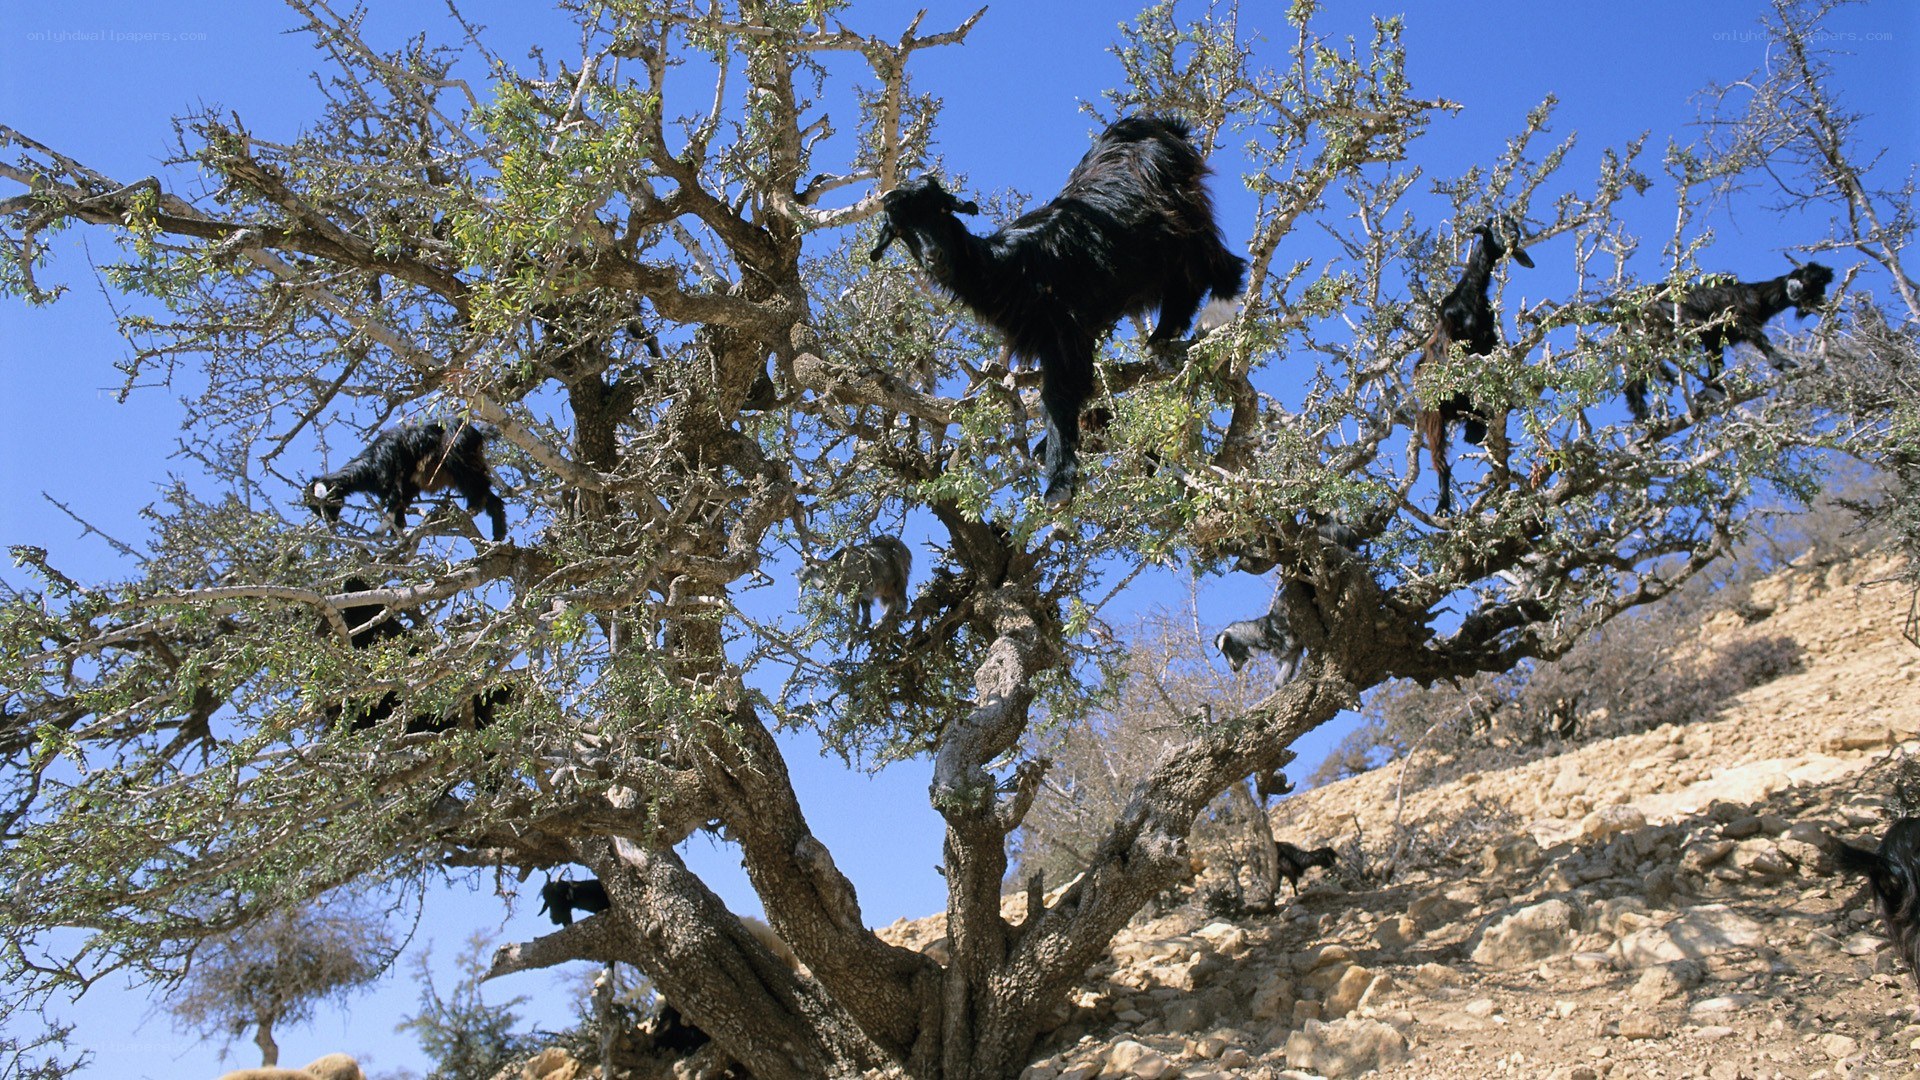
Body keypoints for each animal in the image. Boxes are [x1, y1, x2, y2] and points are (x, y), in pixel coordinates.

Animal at [306, 419, 507, 542]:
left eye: (325, 504)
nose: (331, 522)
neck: (369, 464)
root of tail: (476, 433)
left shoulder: (397, 476)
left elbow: (394, 503)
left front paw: (380, 530)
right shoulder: (410, 485)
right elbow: (400, 506)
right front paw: (397, 530)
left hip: (457, 458)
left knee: (479, 486)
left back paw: (474, 508)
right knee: (491, 496)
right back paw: (498, 534)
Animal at [870, 116, 1246, 505]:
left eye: (944, 210)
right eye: (900, 229)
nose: (936, 257)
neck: (1009, 267)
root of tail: (1158, 125)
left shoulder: (1065, 330)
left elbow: (1058, 397)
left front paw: (1059, 483)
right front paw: (1048, 456)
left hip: (1179, 214)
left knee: (1217, 258)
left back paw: (1215, 315)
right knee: (1185, 282)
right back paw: (1161, 337)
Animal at [1413, 217, 1533, 514]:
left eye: (1515, 225)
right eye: (1496, 224)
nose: (1513, 236)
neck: (1471, 298)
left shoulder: (1489, 342)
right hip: (1433, 415)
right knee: (1440, 460)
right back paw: (1443, 505)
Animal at [1623, 261, 1833, 420]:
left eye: (1812, 295)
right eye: (1806, 278)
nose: (1796, 291)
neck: (1760, 296)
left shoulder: (1715, 339)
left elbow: (1715, 363)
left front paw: (1712, 391)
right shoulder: (1735, 315)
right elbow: (1758, 337)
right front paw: (1784, 363)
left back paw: (1642, 411)